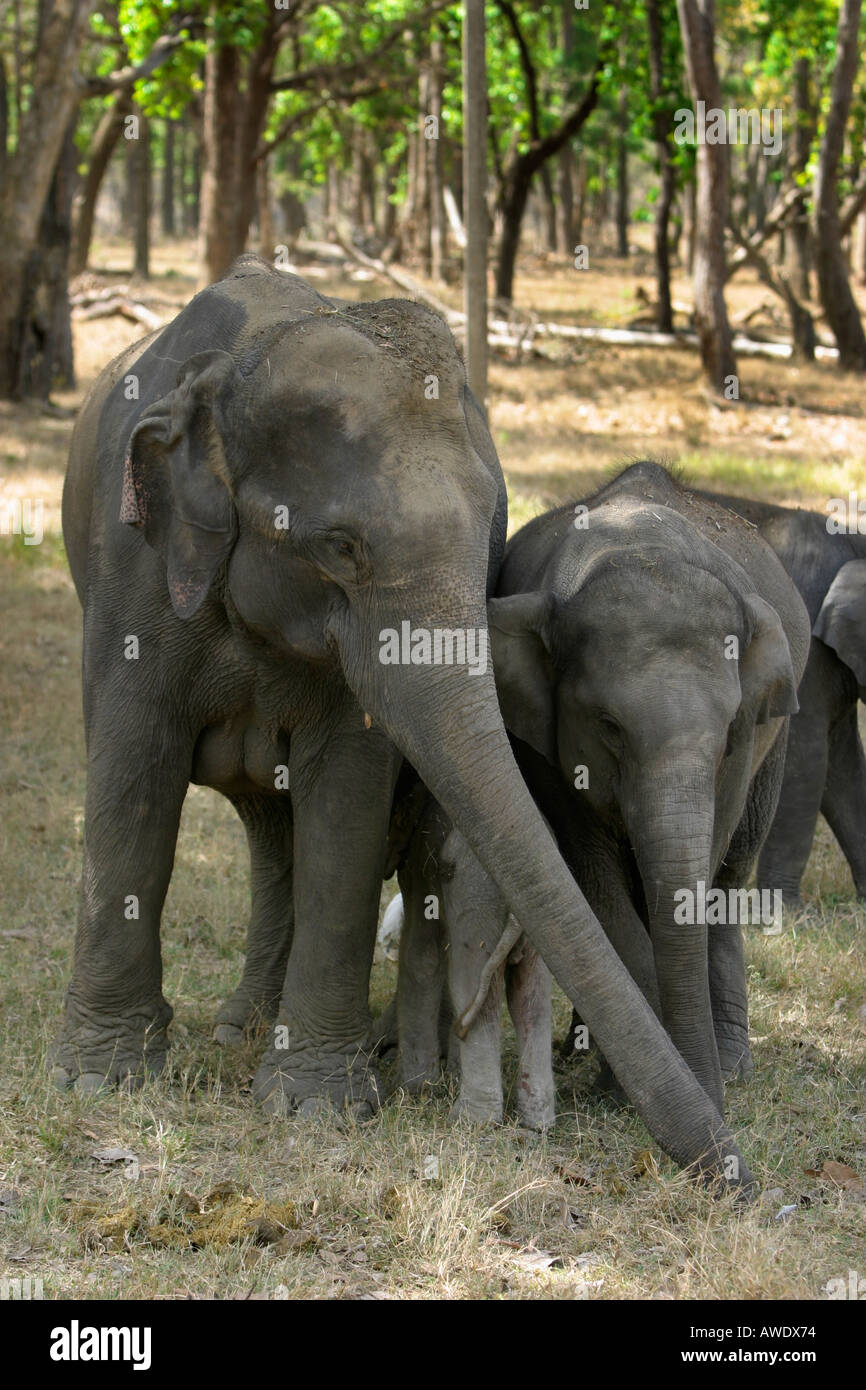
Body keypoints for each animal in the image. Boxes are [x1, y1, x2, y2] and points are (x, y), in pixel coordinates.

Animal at [59, 265, 750, 1189]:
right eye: (341, 548)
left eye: (491, 537)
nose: (745, 1178)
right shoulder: (129, 572)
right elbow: (133, 766)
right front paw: (98, 1082)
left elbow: (347, 794)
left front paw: (316, 1107)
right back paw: (240, 1030)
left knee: (277, 829)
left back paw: (262, 1030)